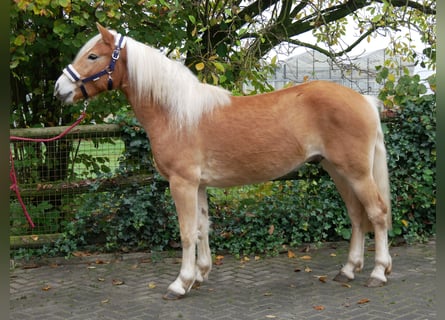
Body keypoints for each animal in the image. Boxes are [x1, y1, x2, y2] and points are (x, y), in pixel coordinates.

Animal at [55, 23, 392, 300]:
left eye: (94, 56)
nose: (60, 89)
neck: (176, 114)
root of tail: (365, 100)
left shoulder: (182, 183)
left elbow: (186, 232)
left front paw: (181, 283)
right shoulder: (199, 185)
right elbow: (203, 227)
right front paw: (200, 274)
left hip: (356, 173)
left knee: (377, 213)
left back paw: (378, 272)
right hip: (337, 170)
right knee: (356, 215)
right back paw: (348, 269)